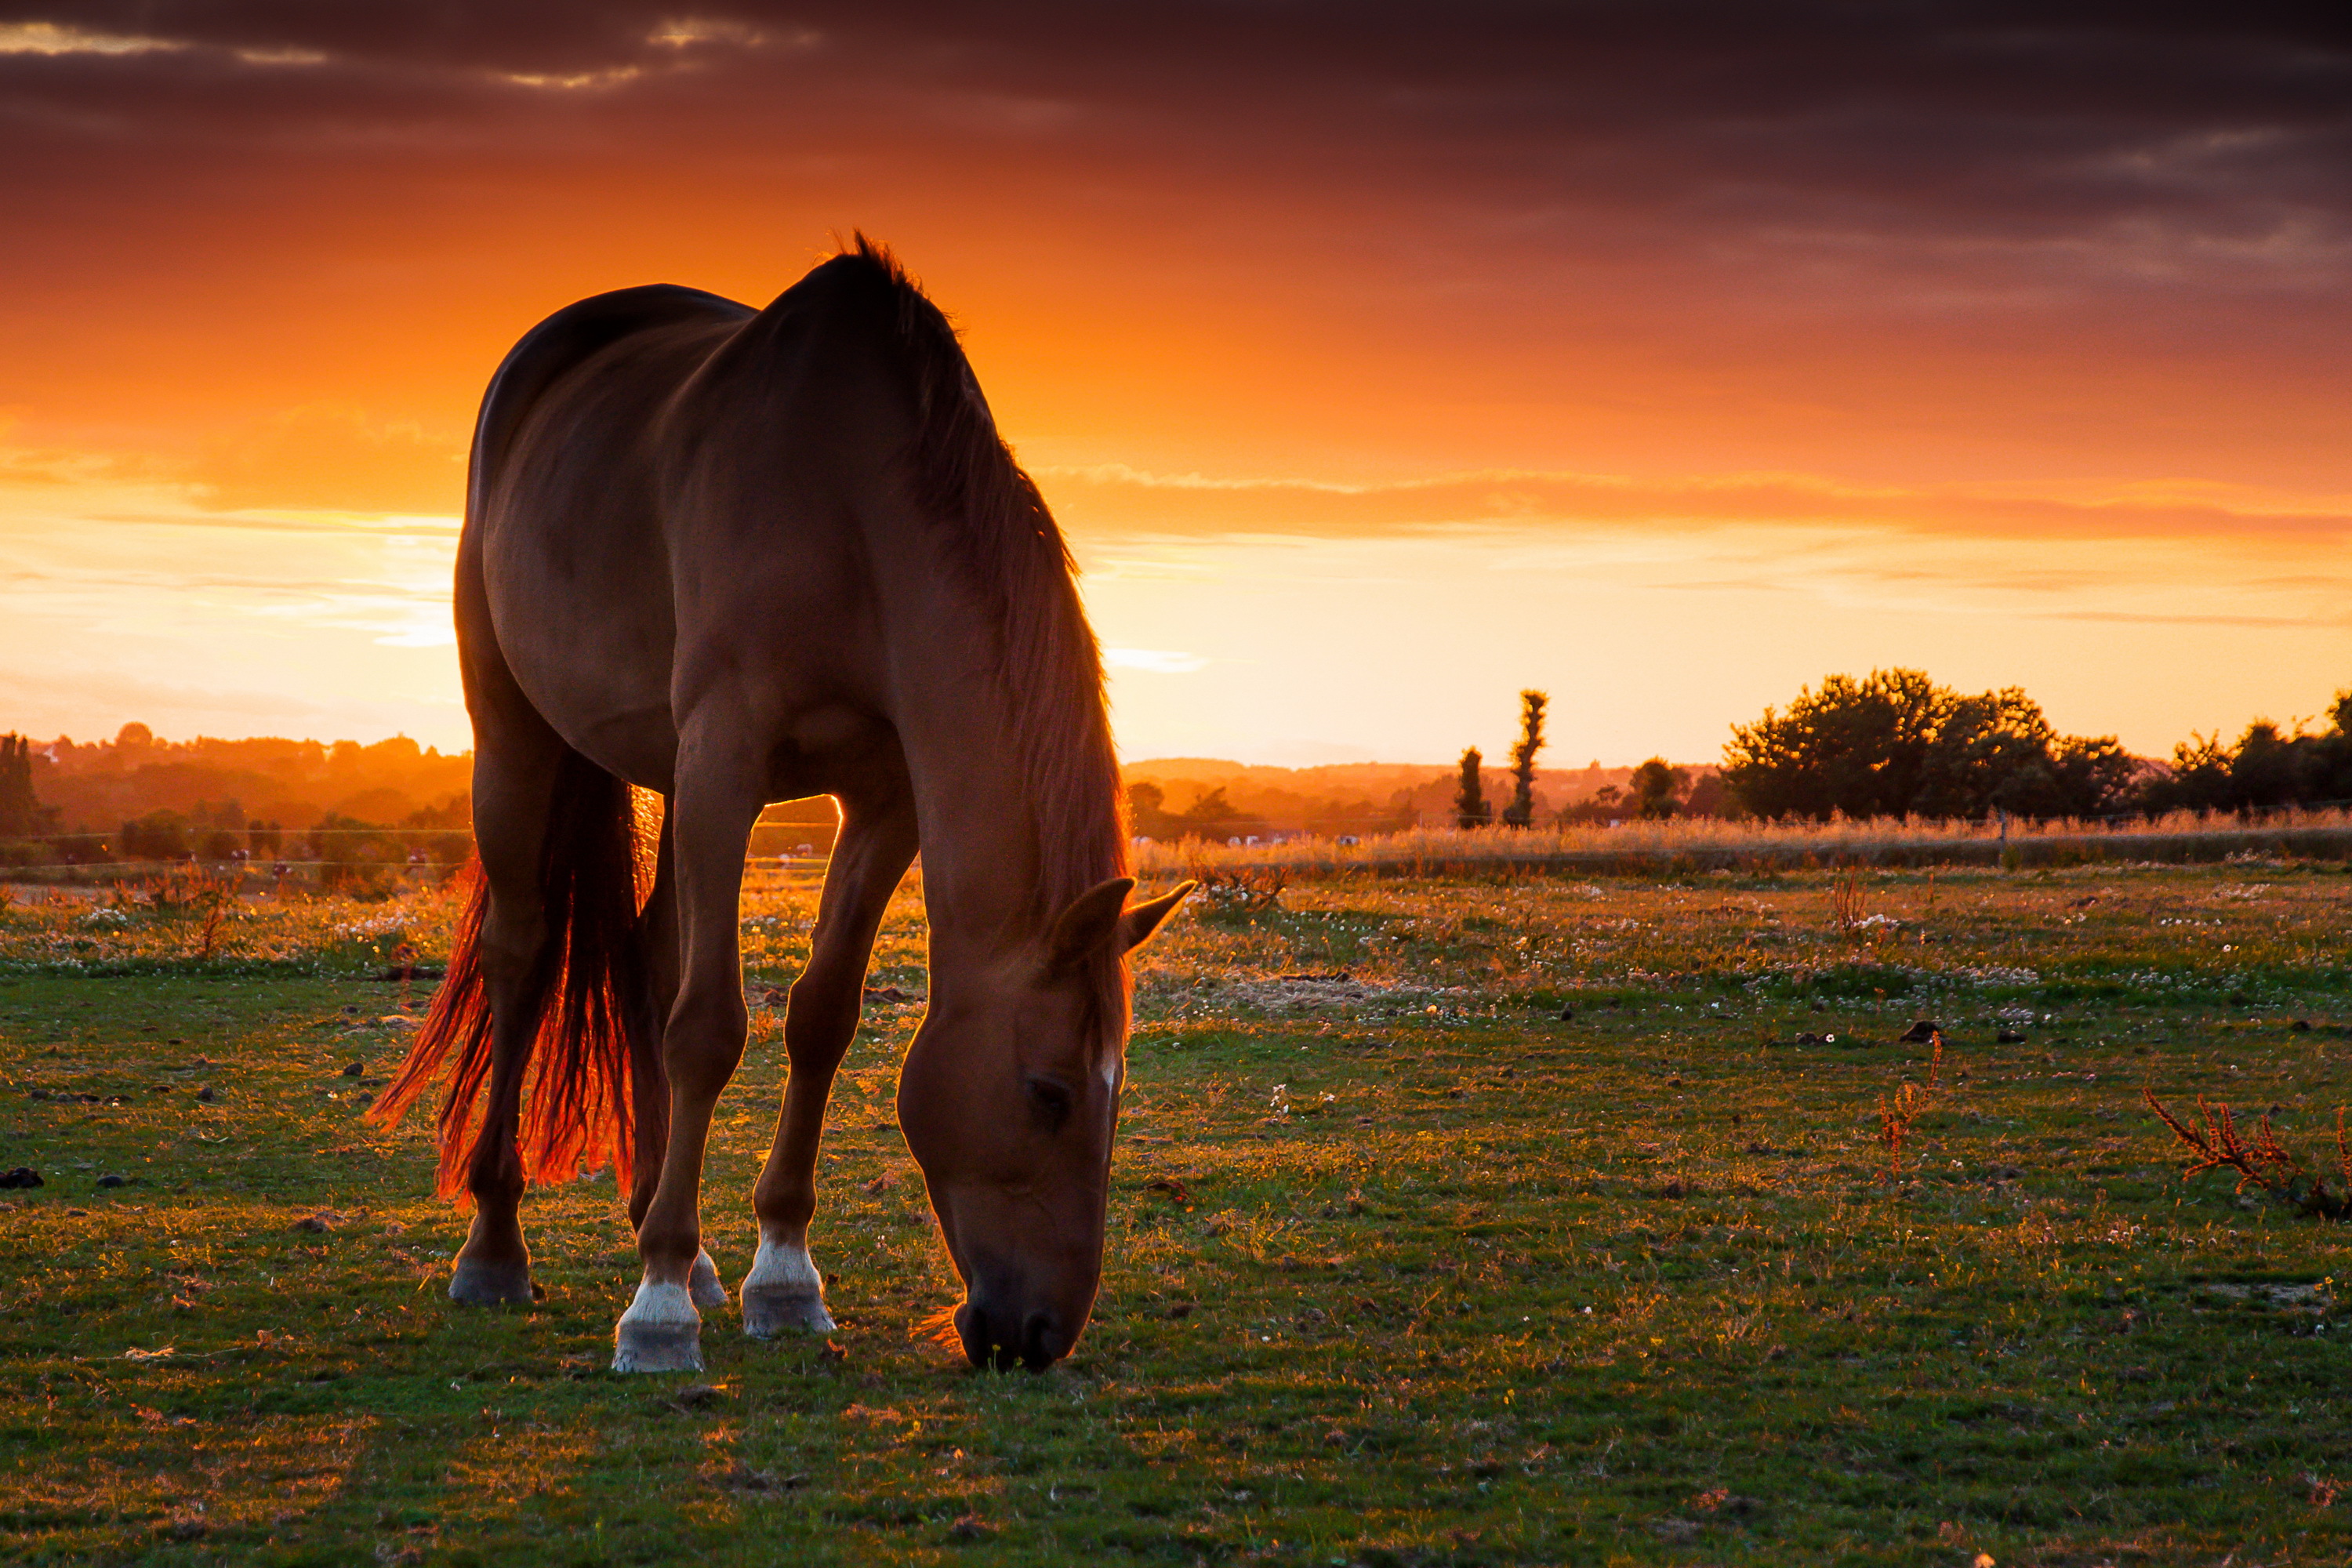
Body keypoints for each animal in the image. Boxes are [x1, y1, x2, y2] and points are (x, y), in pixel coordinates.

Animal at [379, 236, 1204, 1373]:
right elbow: (709, 1027)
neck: (851, 511)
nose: (1039, 1334)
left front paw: (779, 1276)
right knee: (522, 951)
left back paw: (680, 1244)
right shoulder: (728, 756)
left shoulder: (882, 798)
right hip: (519, 734)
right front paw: (657, 1312)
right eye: (1051, 1093)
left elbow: (820, 1016)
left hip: (669, 774)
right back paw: (500, 1248)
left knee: (646, 953)